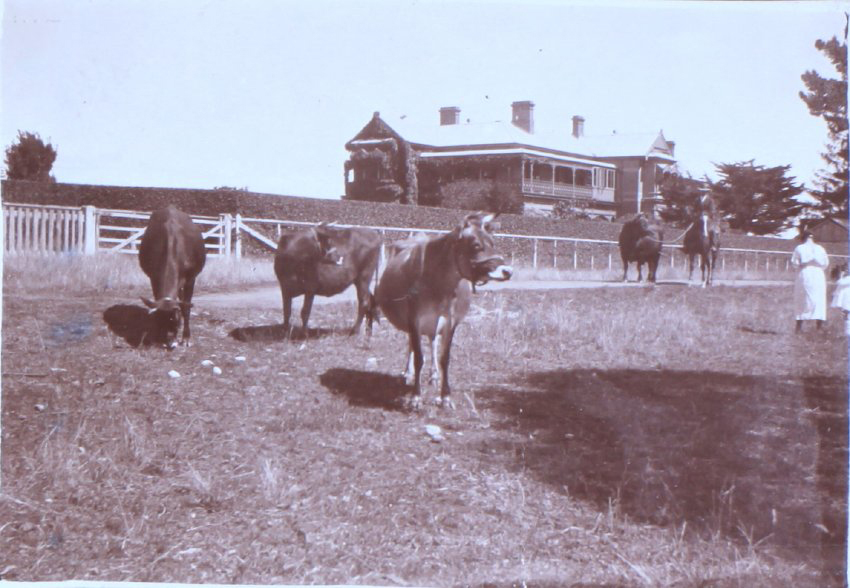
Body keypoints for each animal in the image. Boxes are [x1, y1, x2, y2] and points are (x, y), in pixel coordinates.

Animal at [138, 206, 207, 349]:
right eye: (160, 318)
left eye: (175, 319)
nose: (170, 342)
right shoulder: (153, 278)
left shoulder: (191, 279)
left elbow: (186, 307)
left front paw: (186, 337)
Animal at [375, 212, 513, 410]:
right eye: (476, 245)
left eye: (493, 242)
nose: (507, 271)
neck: (439, 284)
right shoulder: (414, 318)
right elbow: (418, 357)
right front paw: (416, 397)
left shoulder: (450, 321)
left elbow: (444, 358)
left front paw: (445, 396)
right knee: (412, 344)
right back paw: (408, 374)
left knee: (432, 341)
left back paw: (433, 375)